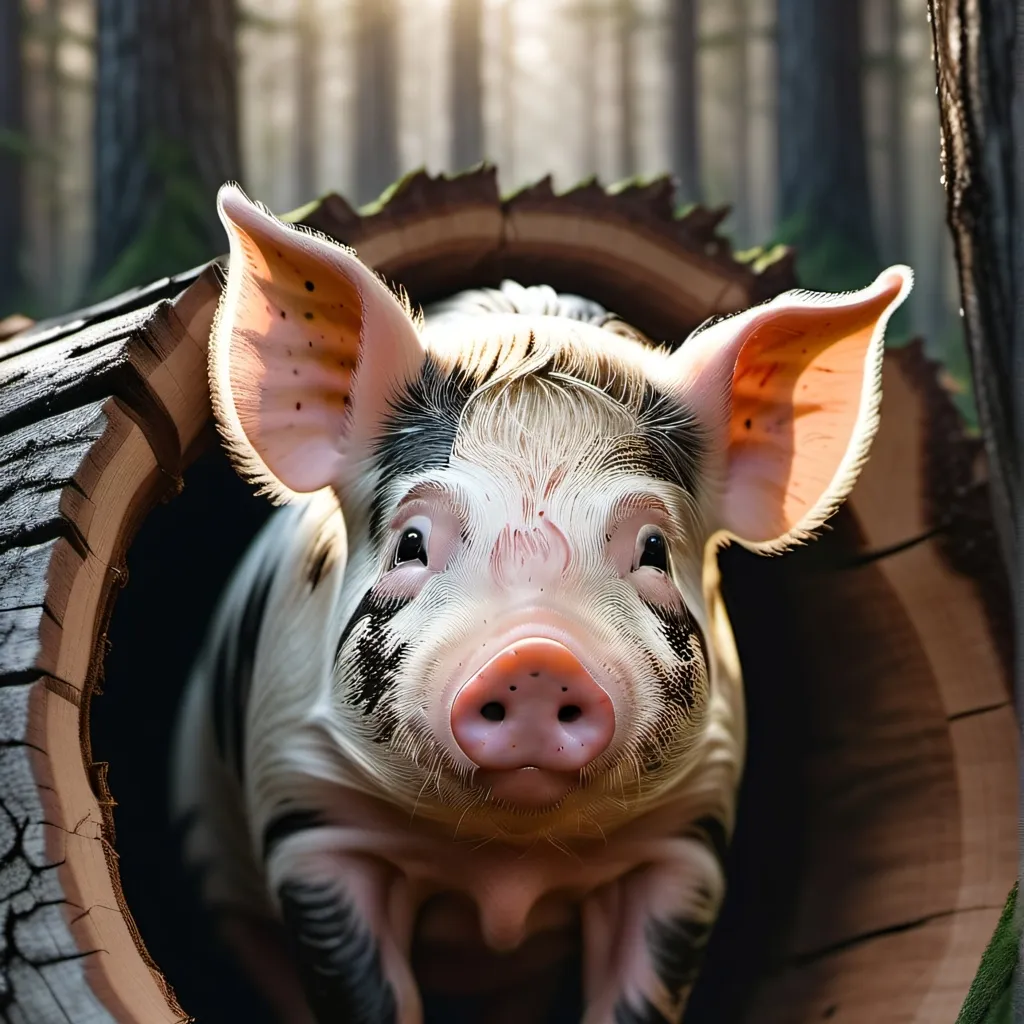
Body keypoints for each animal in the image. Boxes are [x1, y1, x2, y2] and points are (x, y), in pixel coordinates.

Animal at [170, 182, 912, 1024]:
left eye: (653, 551)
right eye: (412, 542)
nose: (535, 656)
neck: (505, 866)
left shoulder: (685, 839)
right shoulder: (311, 820)